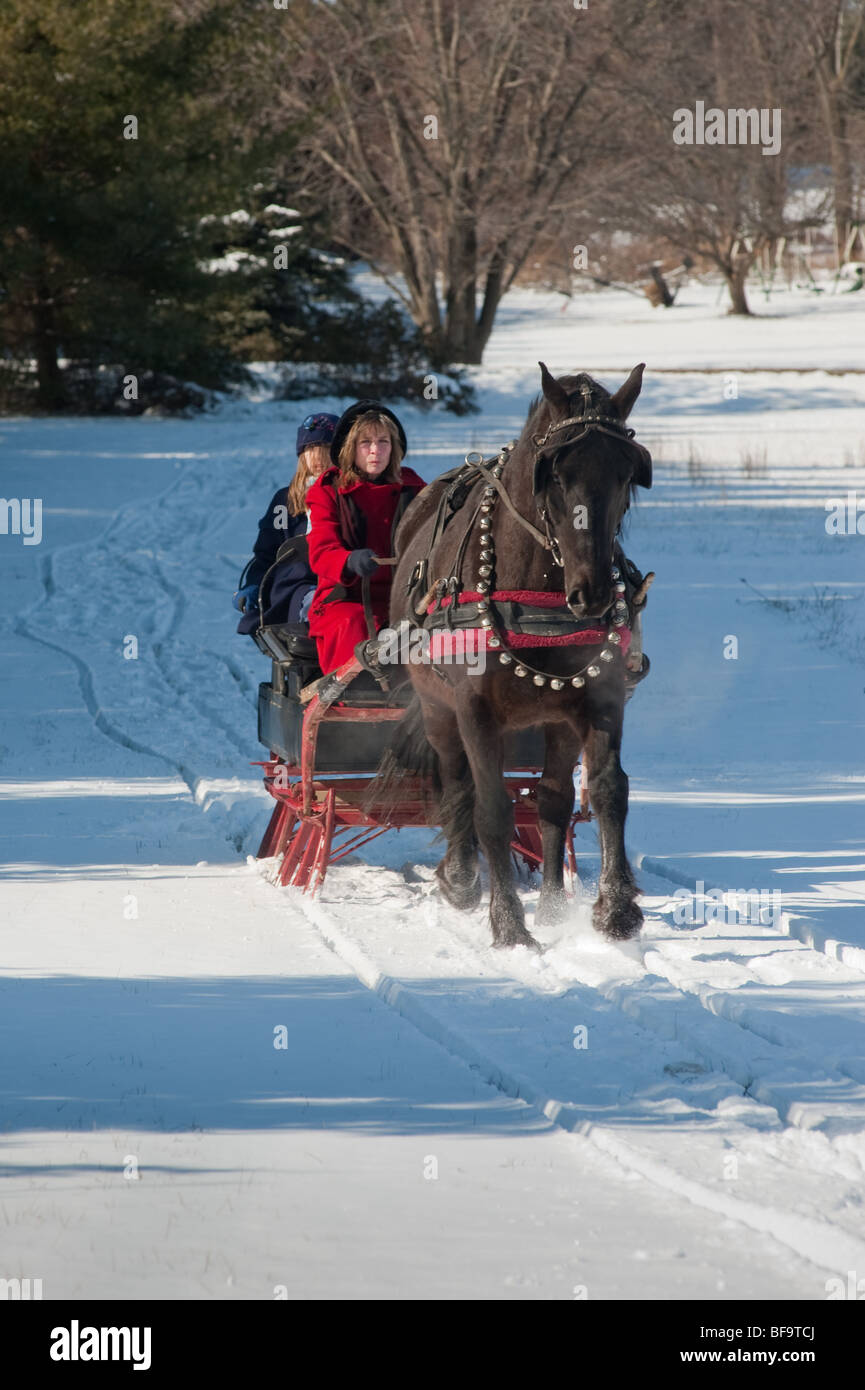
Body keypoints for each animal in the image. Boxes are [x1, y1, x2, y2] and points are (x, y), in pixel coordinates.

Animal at [386, 364, 650, 950]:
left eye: (626, 473)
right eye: (554, 474)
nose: (594, 593)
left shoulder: (600, 699)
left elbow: (607, 791)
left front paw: (616, 910)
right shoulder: (475, 712)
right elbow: (491, 810)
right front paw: (508, 924)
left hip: (553, 719)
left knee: (551, 800)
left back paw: (550, 905)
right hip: (438, 709)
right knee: (457, 784)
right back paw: (461, 878)